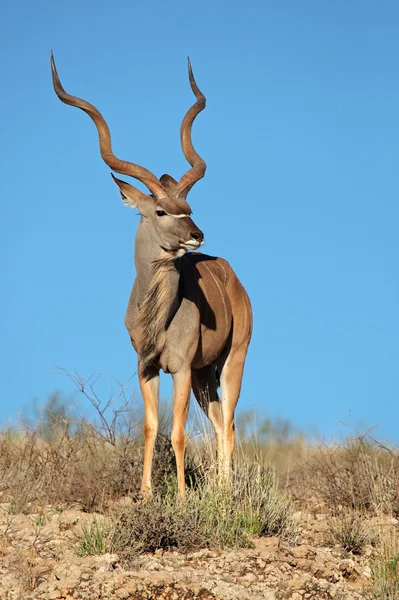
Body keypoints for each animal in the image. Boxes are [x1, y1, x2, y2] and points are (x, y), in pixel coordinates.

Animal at [51, 55, 253, 496]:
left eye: (188, 207)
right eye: (161, 211)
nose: (197, 234)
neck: (157, 318)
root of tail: (235, 281)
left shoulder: (178, 368)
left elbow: (176, 432)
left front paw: (179, 496)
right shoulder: (147, 367)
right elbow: (150, 427)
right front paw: (144, 494)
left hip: (232, 360)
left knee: (229, 422)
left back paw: (226, 492)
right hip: (204, 377)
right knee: (219, 423)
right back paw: (219, 489)